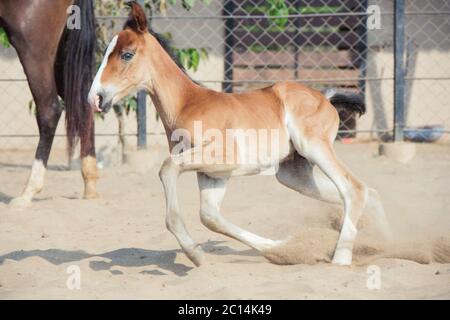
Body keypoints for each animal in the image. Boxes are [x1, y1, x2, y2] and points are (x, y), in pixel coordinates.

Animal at [88, 2, 386, 266]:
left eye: (127, 54)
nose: (95, 98)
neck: (188, 103)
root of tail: (326, 97)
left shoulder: (223, 158)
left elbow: (167, 168)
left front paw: (193, 253)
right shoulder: (213, 174)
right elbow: (210, 217)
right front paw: (282, 248)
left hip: (313, 147)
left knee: (354, 188)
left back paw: (342, 257)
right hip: (292, 173)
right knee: (364, 193)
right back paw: (379, 239)